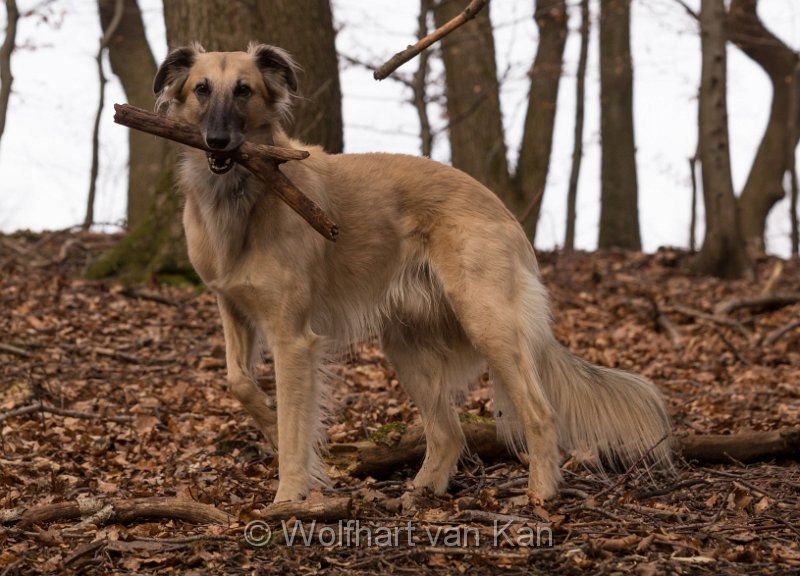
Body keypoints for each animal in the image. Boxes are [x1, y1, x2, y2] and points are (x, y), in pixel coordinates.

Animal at [153, 44, 672, 504]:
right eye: (202, 89)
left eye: (244, 90)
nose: (218, 142)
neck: (244, 197)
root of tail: (502, 209)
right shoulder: (232, 306)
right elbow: (239, 383)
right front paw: (274, 429)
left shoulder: (293, 336)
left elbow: (296, 422)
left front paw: (289, 495)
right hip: (405, 344)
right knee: (448, 432)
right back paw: (424, 490)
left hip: (489, 324)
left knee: (539, 414)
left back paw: (541, 494)